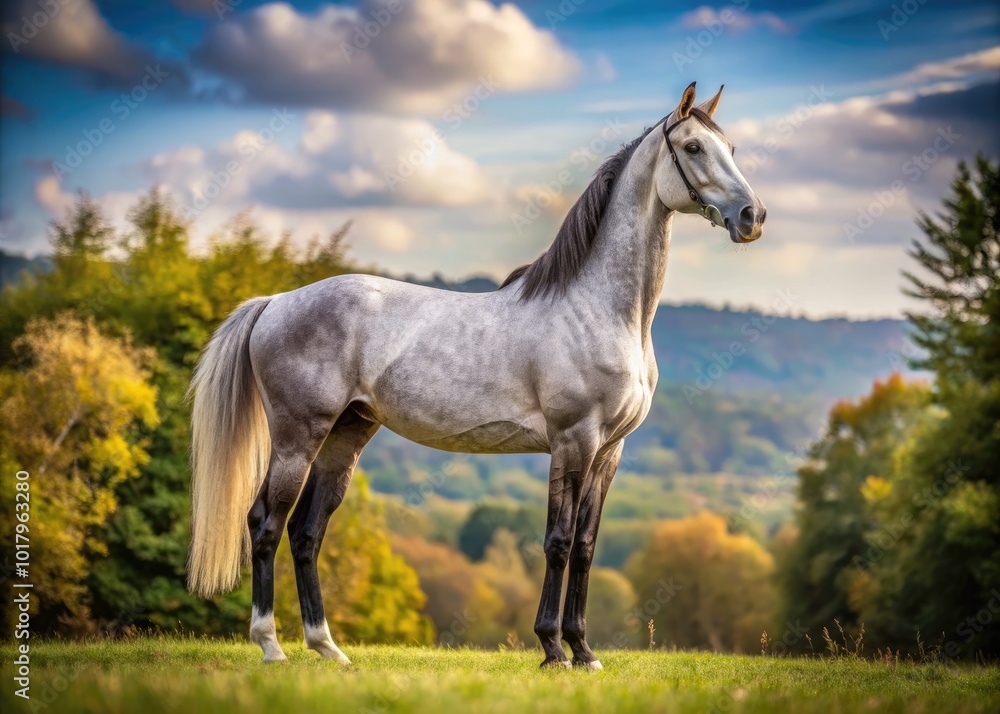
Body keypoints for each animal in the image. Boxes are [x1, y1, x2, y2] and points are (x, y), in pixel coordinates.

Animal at [186, 82, 766, 669]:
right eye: (692, 147)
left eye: (731, 147)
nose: (752, 215)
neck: (600, 309)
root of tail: (276, 301)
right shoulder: (574, 441)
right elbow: (557, 542)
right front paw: (553, 649)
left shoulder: (609, 451)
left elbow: (585, 546)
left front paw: (584, 651)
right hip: (297, 437)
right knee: (265, 523)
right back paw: (271, 646)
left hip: (345, 435)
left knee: (307, 533)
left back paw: (328, 648)